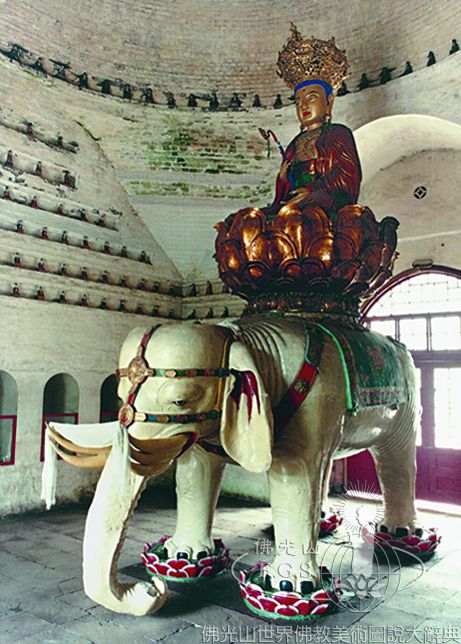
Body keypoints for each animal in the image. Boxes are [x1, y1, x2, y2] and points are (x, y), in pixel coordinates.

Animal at [43, 314, 422, 616]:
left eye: (179, 400)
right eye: (120, 396)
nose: (152, 588)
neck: (242, 337)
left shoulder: (314, 404)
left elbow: (295, 476)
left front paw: (287, 586)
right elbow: (197, 469)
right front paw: (183, 558)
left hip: (406, 401)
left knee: (394, 457)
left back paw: (400, 537)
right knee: (328, 466)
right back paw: (325, 523)